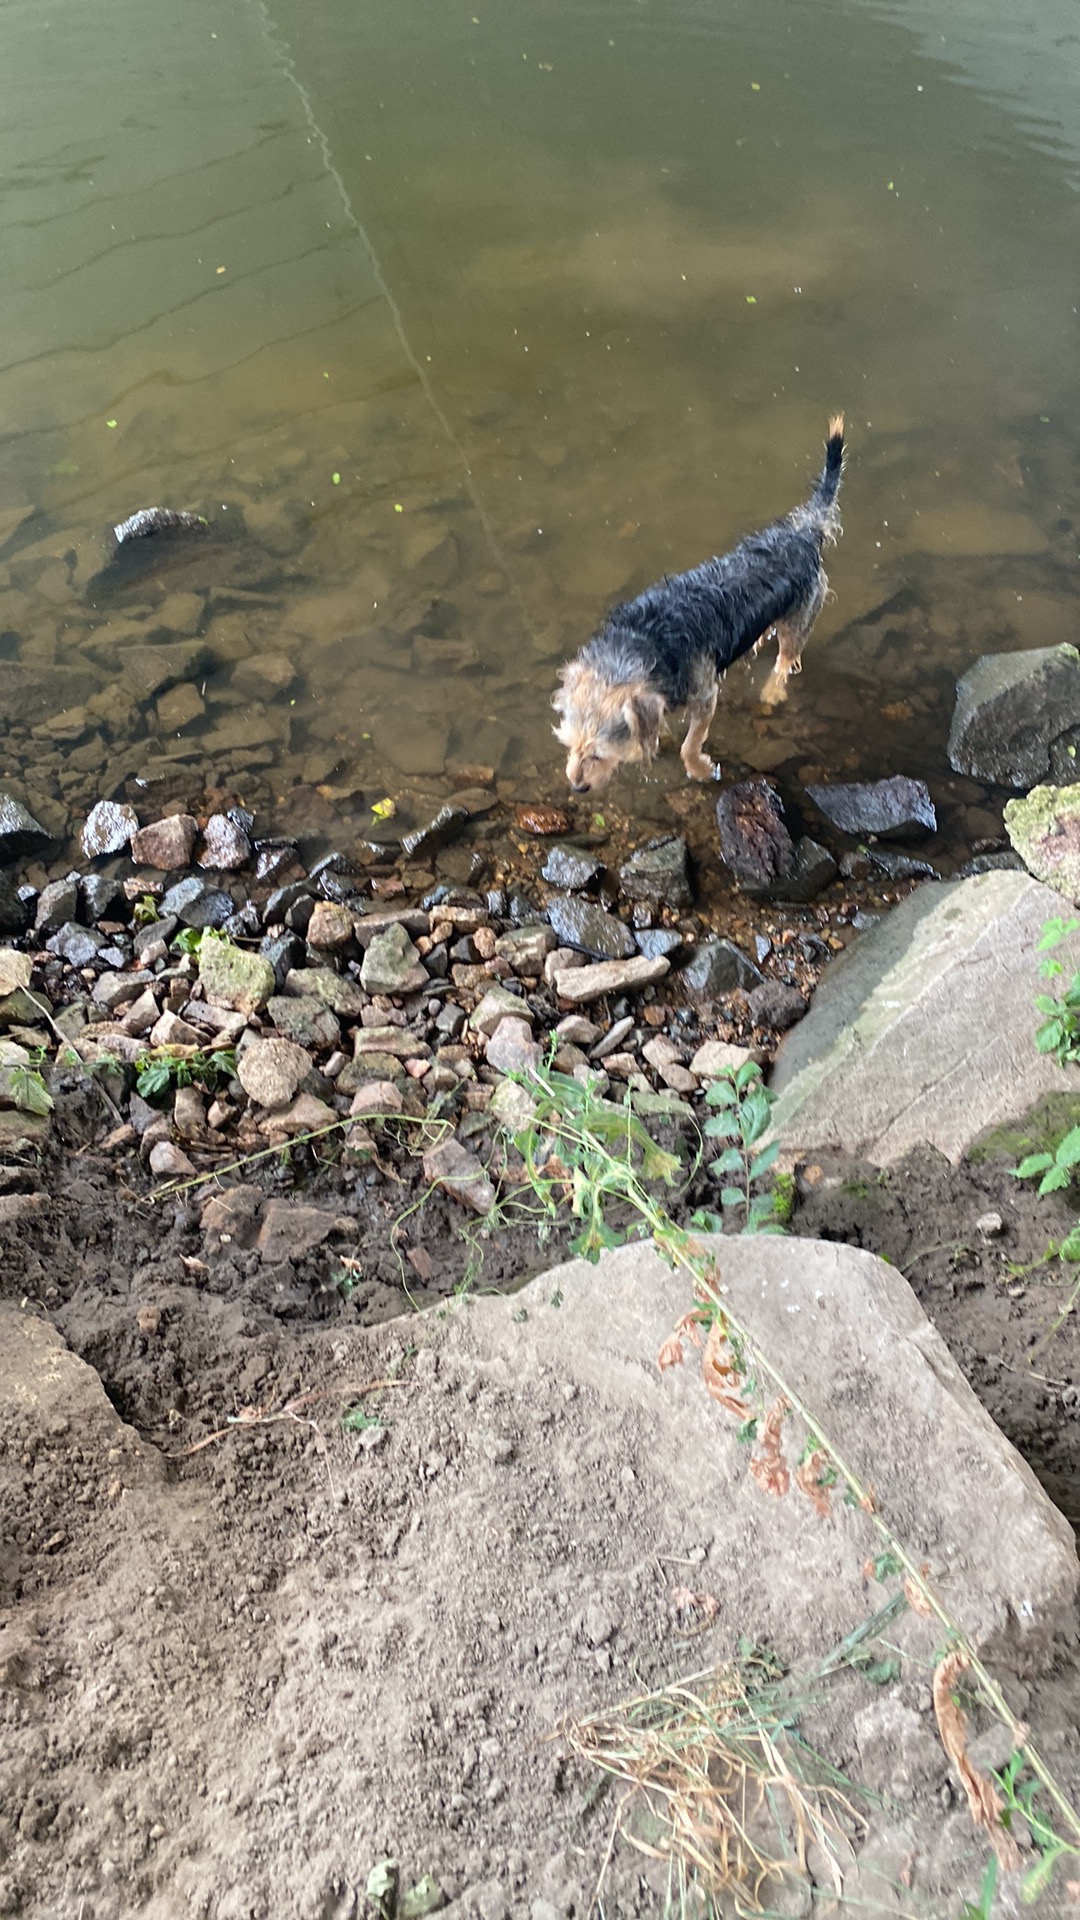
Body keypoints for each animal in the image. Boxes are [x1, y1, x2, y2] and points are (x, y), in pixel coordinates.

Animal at [552, 416, 844, 793]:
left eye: (598, 755)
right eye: (569, 745)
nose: (577, 787)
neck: (643, 641)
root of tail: (804, 532)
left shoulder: (705, 695)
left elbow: (690, 742)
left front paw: (700, 768)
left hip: (802, 614)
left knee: (786, 658)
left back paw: (772, 690)